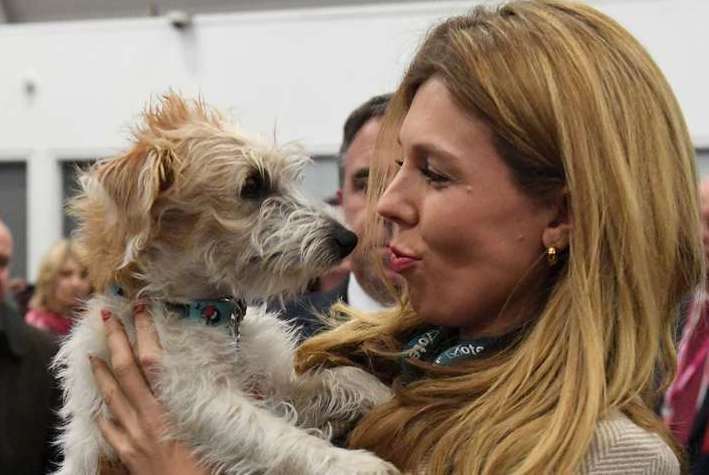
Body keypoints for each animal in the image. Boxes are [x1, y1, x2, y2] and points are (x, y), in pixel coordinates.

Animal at [54, 95, 398, 474]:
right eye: (252, 185)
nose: (348, 239)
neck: (207, 311)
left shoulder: (273, 384)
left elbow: (345, 378)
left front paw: (391, 395)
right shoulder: (197, 396)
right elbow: (274, 437)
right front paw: (351, 462)